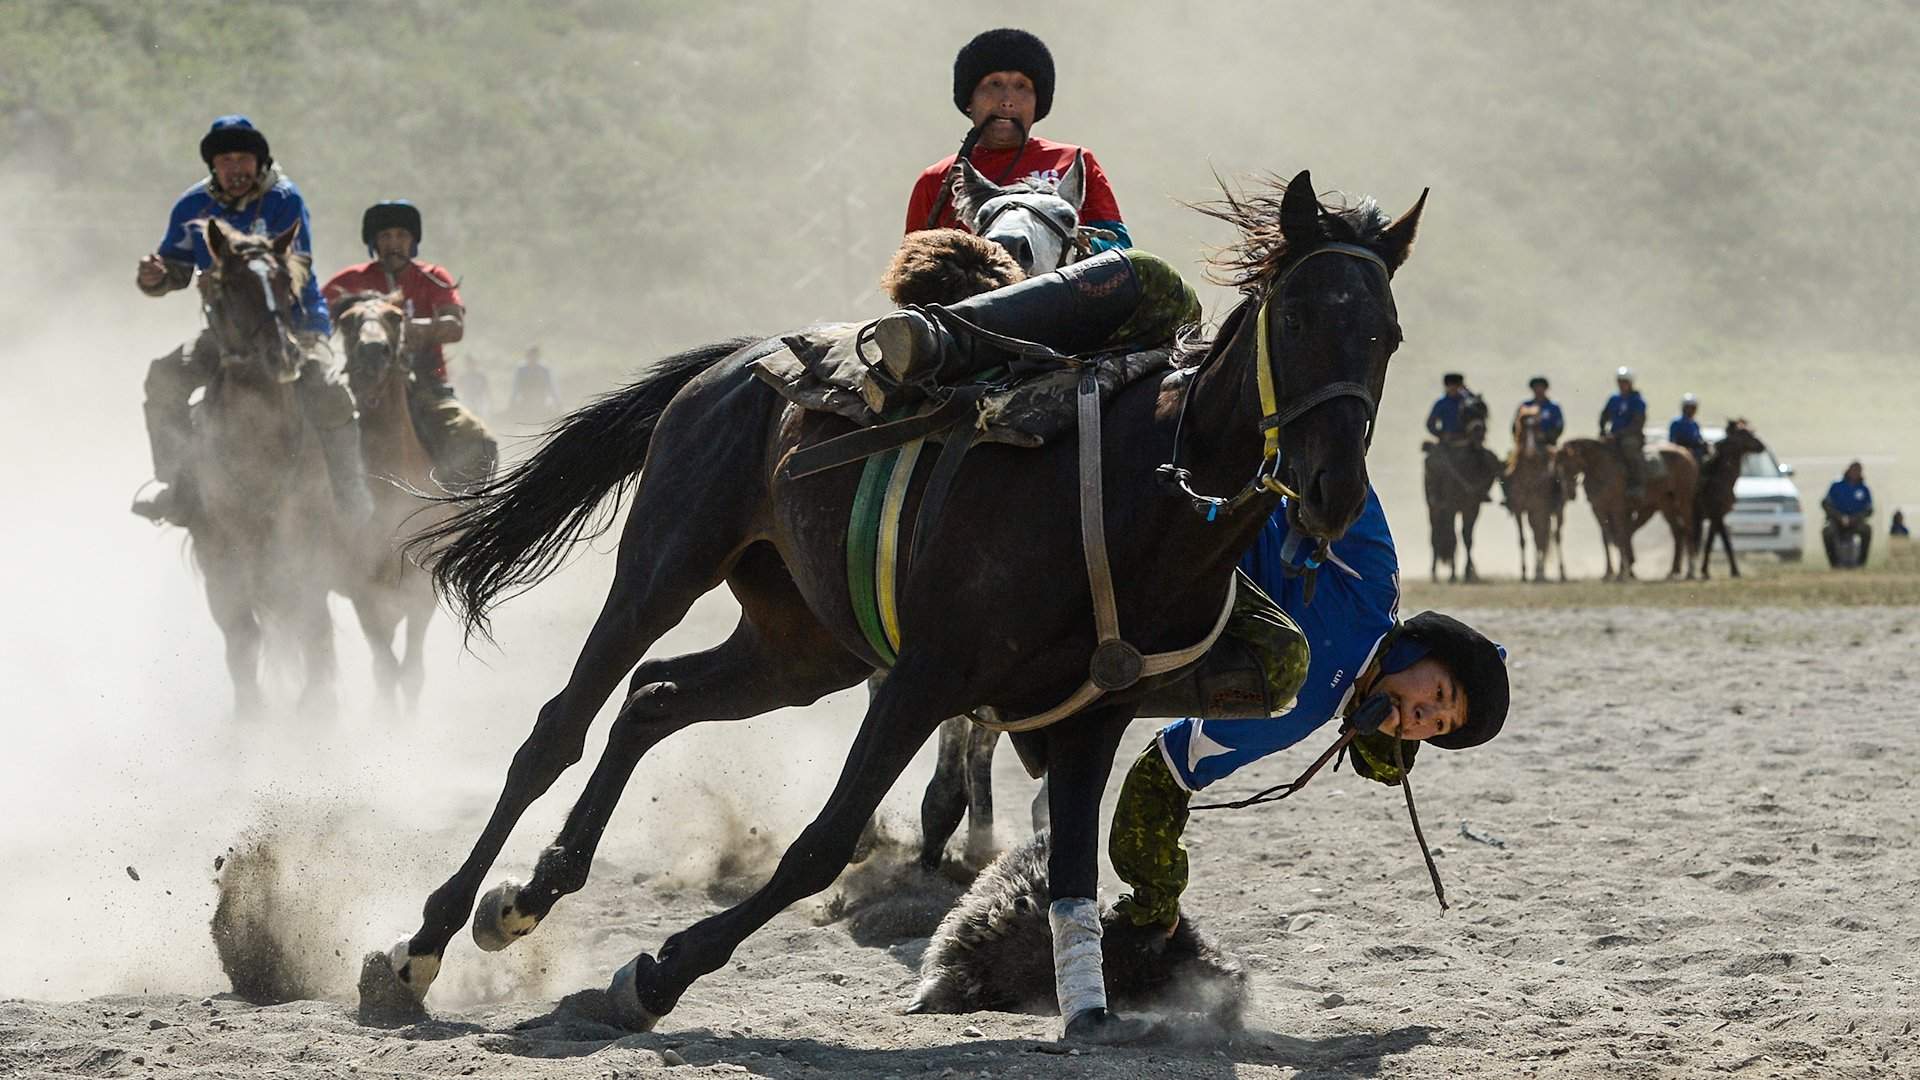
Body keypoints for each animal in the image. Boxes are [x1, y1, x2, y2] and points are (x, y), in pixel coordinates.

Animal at [360, 168, 1428, 1037]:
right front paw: (655, 975)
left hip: (800, 649)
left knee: (655, 699)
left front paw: (1087, 1006)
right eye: (1298, 321)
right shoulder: (922, 681)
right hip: (663, 570)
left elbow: (1073, 871)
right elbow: (821, 844)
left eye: (1387, 335)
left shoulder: (1094, 716)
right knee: (558, 729)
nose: (1332, 488)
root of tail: (734, 361)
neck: (1136, 492)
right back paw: (421, 946)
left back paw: (530, 894)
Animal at [1697, 417, 1766, 576]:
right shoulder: (1717, 515)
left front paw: (1705, 570)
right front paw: (1734, 570)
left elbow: (1712, 541)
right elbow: (1725, 542)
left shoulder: (1716, 517)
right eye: (1745, 432)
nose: (1762, 446)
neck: (1721, 478)